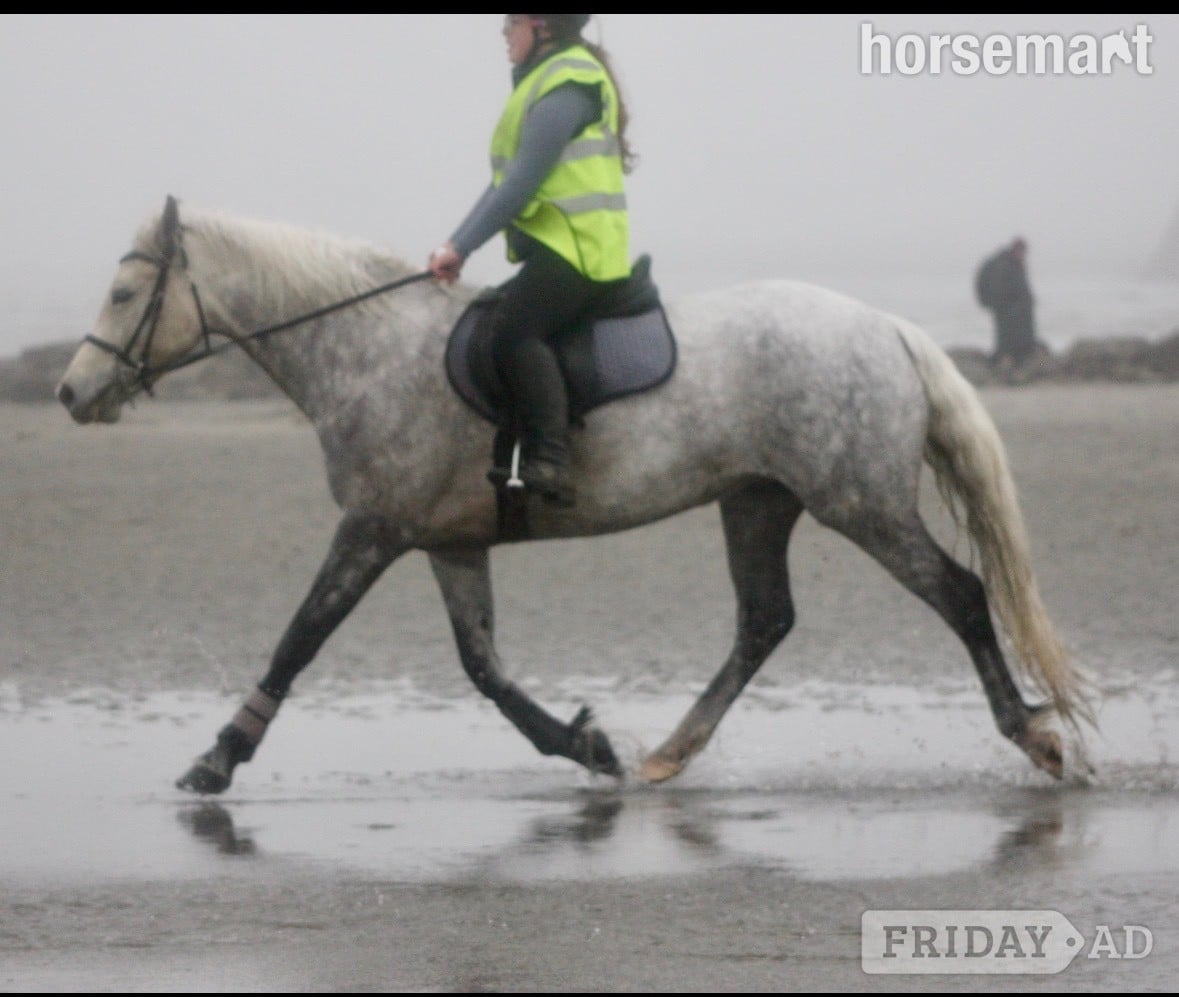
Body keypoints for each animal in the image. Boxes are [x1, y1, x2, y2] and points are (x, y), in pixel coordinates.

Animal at [55, 196, 1096, 794]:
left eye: (122, 294)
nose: (70, 392)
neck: (367, 347)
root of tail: (883, 325)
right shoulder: (448, 541)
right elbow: (483, 668)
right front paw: (586, 744)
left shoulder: (373, 527)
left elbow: (301, 635)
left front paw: (217, 756)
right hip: (758, 499)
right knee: (764, 619)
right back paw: (668, 752)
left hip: (860, 504)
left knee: (959, 593)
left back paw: (1036, 739)